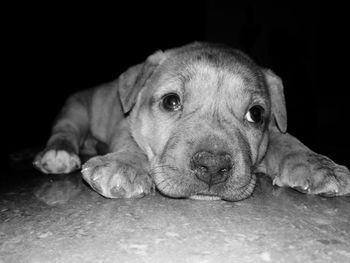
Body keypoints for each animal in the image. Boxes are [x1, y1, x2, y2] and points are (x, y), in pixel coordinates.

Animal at [33, 42, 350, 202]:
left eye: (256, 114)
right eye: (171, 102)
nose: (213, 167)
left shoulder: (273, 129)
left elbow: (286, 139)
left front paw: (316, 166)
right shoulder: (126, 122)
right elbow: (132, 142)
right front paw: (124, 165)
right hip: (75, 108)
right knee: (65, 131)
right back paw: (59, 154)